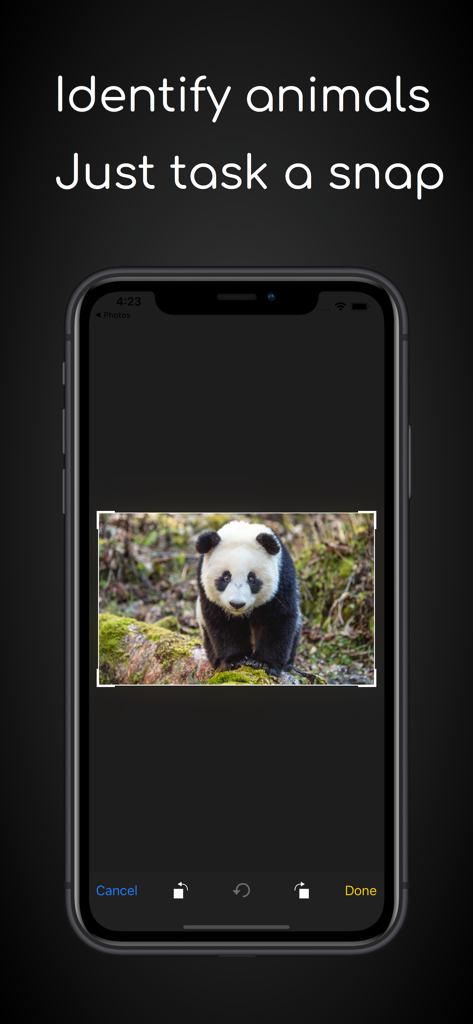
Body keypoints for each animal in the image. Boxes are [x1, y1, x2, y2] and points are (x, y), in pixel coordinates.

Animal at [195, 520, 302, 676]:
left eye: (251, 578)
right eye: (226, 577)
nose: (237, 604)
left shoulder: (282, 578)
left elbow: (277, 619)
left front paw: (264, 663)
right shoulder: (206, 589)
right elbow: (223, 624)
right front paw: (236, 659)